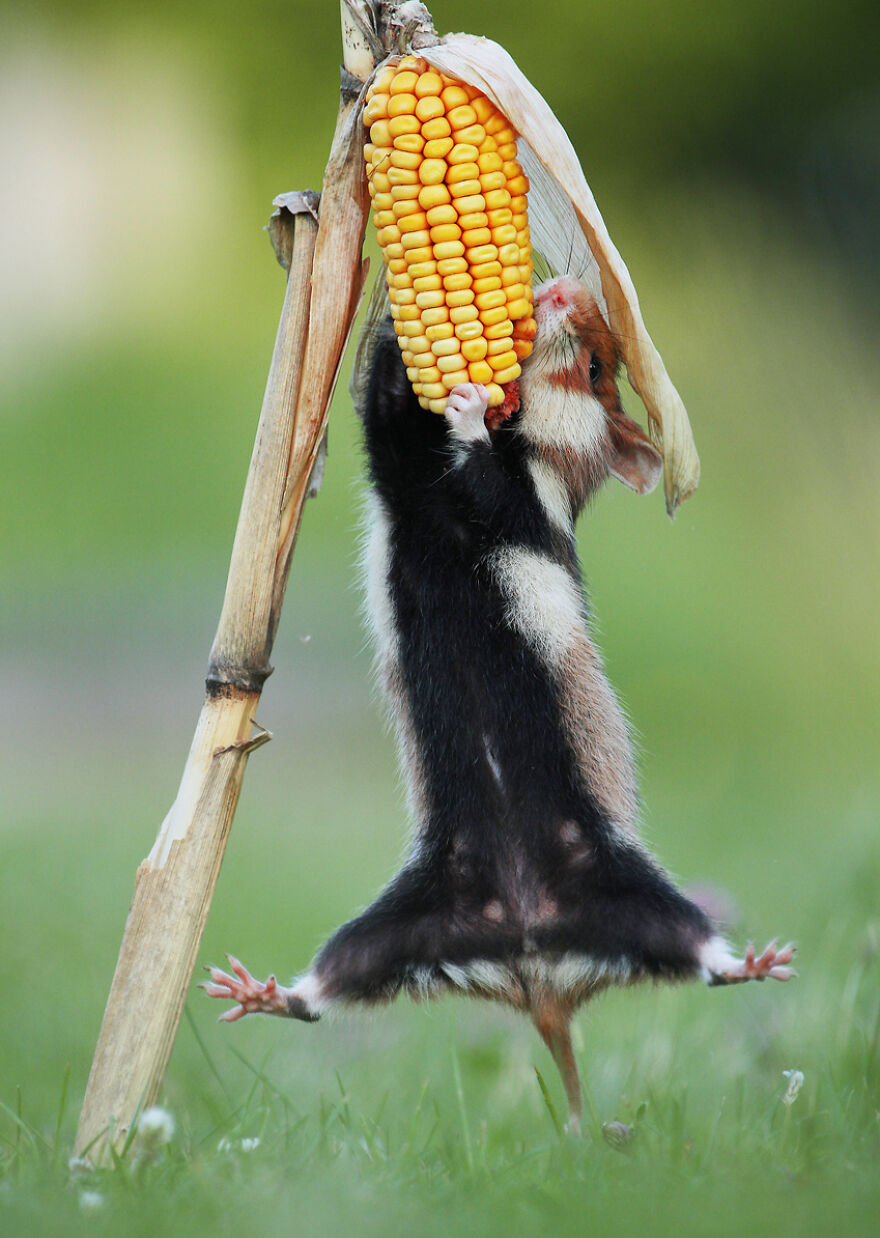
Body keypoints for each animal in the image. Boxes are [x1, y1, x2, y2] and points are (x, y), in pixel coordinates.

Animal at [205, 274, 795, 1134]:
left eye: (594, 367)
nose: (567, 284)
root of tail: (533, 971)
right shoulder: (401, 476)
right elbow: (387, 417)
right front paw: (382, 306)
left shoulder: (501, 505)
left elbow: (475, 469)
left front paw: (467, 405)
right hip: (391, 933)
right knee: (322, 994)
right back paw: (249, 991)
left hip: (641, 900)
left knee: (706, 960)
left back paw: (761, 961)